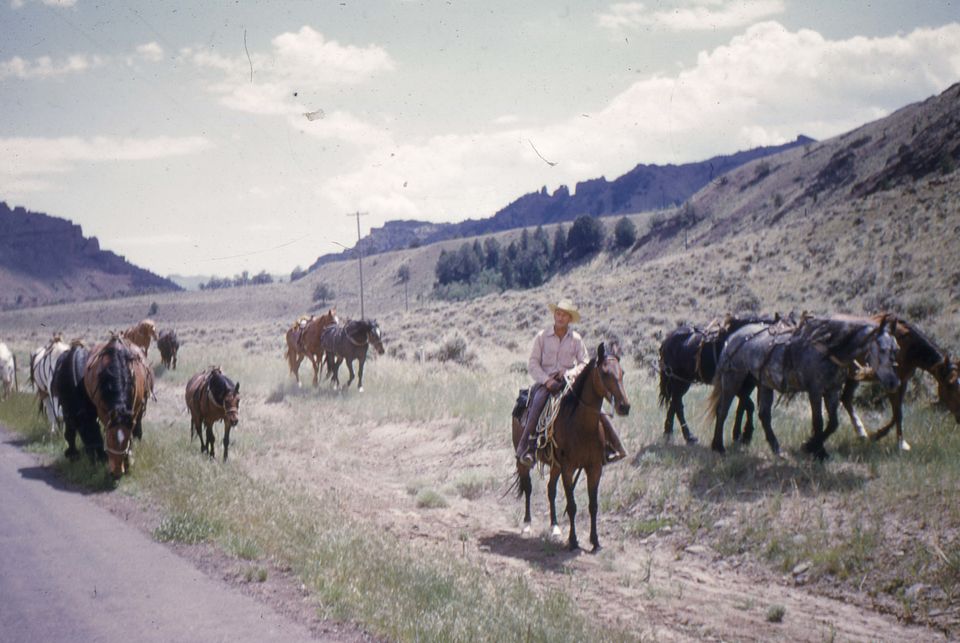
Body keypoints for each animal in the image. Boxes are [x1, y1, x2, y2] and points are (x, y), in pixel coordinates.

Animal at [84, 338, 154, 478]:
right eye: (110, 437)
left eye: (127, 439)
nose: (116, 472)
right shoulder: (103, 411)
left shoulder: (134, 410)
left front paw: (128, 462)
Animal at [510, 342, 632, 552]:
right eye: (605, 372)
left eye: (622, 372)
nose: (624, 406)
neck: (581, 426)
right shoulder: (568, 468)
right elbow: (572, 505)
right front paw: (573, 541)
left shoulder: (594, 468)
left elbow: (593, 505)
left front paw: (595, 541)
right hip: (523, 460)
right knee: (528, 487)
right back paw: (527, 524)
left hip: (555, 465)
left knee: (550, 490)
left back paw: (555, 527)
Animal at [704, 316, 900, 458]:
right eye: (882, 349)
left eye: (896, 349)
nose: (893, 383)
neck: (829, 350)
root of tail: (732, 338)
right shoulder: (815, 391)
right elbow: (818, 421)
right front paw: (817, 450)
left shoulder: (832, 391)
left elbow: (833, 423)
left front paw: (811, 446)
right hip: (733, 379)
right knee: (723, 411)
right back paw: (718, 446)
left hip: (763, 384)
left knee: (764, 415)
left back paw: (777, 448)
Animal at [840, 314, 960, 450]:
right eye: (950, 384)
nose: (959, 417)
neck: (909, 349)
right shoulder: (891, 383)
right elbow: (898, 413)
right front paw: (900, 443)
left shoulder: (903, 382)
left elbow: (897, 413)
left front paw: (879, 435)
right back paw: (861, 432)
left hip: (853, 376)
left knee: (846, 398)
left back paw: (861, 433)